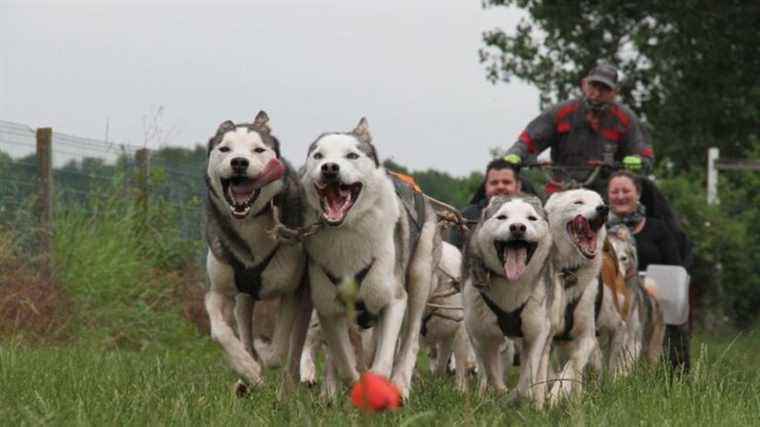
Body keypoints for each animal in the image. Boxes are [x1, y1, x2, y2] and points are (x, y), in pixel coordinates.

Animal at [205, 112, 312, 396]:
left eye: (258, 150)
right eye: (225, 148)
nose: (239, 162)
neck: (250, 224)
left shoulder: (292, 292)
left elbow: (278, 350)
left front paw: (262, 358)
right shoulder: (220, 288)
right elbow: (219, 331)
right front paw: (246, 368)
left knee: (294, 350)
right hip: (244, 298)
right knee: (243, 324)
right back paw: (246, 377)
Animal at [298, 118, 440, 402]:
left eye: (352, 155)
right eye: (318, 155)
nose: (329, 168)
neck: (346, 234)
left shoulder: (394, 300)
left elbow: (383, 363)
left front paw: (378, 387)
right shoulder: (329, 309)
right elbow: (344, 362)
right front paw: (351, 385)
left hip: (419, 278)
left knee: (410, 342)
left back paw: (401, 386)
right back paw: (328, 393)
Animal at [460, 195, 556, 408]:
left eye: (531, 218)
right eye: (502, 216)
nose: (518, 227)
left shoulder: (537, 331)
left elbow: (528, 375)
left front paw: (518, 396)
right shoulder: (482, 335)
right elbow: (491, 371)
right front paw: (500, 392)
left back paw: (538, 404)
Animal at [544, 189, 608, 402]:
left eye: (601, 201)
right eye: (578, 202)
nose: (604, 209)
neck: (568, 274)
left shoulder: (586, 337)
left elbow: (571, 369)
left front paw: (556, 396)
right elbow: (549, 373)